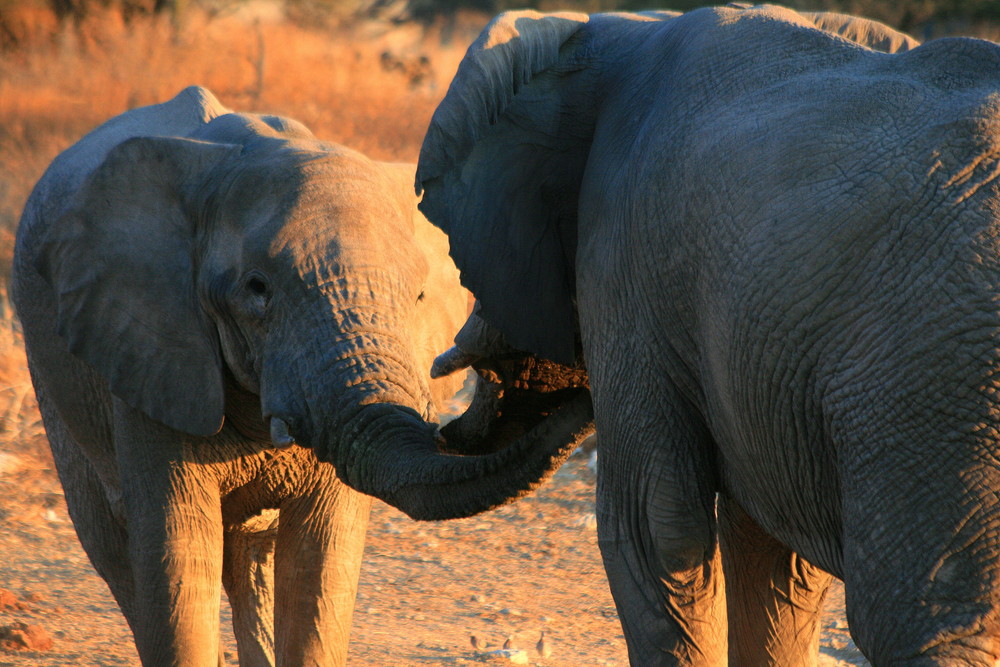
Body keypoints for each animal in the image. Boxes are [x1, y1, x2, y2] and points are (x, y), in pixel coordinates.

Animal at [10, 86, 472, 664]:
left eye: (419, 295)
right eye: (257, 290)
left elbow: (321, 560)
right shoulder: (151, 351)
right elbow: (178, 551)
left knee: (253, 555)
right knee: (114, 547)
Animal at [332, 5, 1000, 667]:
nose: (444, 429)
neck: (620, 29)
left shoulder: (625, 265)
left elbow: (651, 524)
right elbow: (770, 560)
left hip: (930, 385)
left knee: (925, 624)